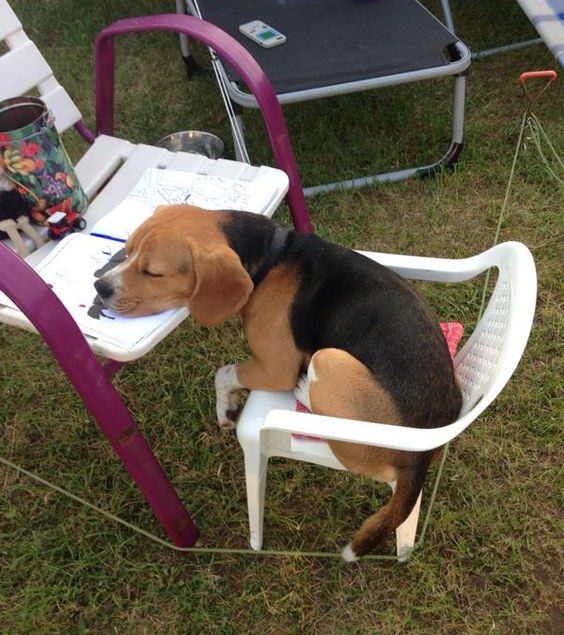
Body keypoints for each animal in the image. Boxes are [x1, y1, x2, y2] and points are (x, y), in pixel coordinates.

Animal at [93, 205, 462, 560]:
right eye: (127, 251)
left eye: (153, 272)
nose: (100, 287)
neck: (272, 258)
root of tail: (421, 456)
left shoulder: (275, 368)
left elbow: (222, 373)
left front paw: (224, 409)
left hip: (328, 360)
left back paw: (303, 390)